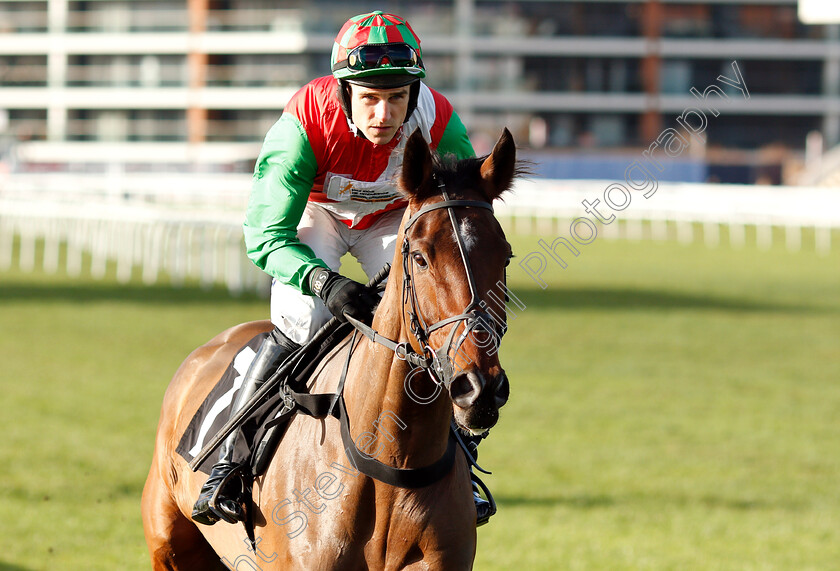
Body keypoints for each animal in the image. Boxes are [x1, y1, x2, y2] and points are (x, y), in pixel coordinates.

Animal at [141, 127, 516, 568]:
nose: (480, 388)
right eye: (421, 258)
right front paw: (342, 295)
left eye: (505, 256)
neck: (390, 463)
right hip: (169, 546)